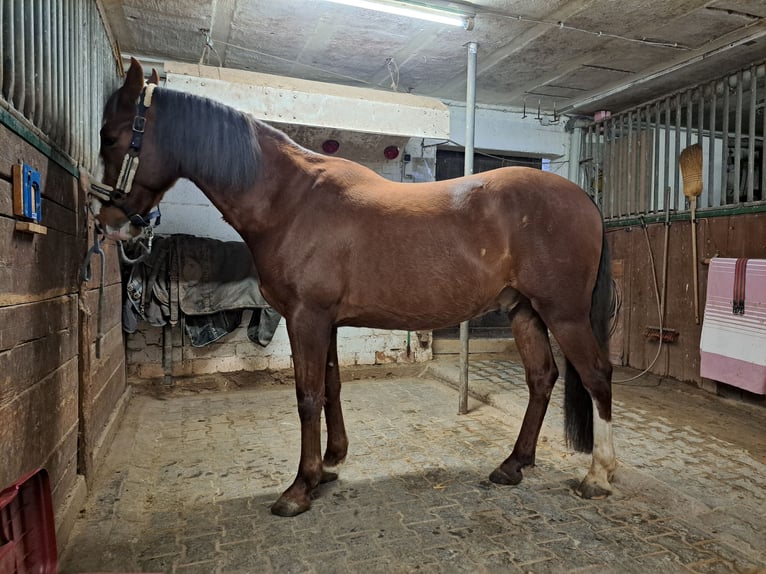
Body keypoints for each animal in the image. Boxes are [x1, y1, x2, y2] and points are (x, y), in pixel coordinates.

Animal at [91, 60, 616, 520]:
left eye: (110, 136)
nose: (110, 224)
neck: (291, 201)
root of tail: (585, 199)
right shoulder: (325, 321)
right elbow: (330, 387)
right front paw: (328, 465)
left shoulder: (307, 318)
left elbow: (306, 395)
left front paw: (299, 488)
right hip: (525, 311)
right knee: (542, 378)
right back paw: (513, 464)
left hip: (564, 313)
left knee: (596, 375)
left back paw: (599, 475)